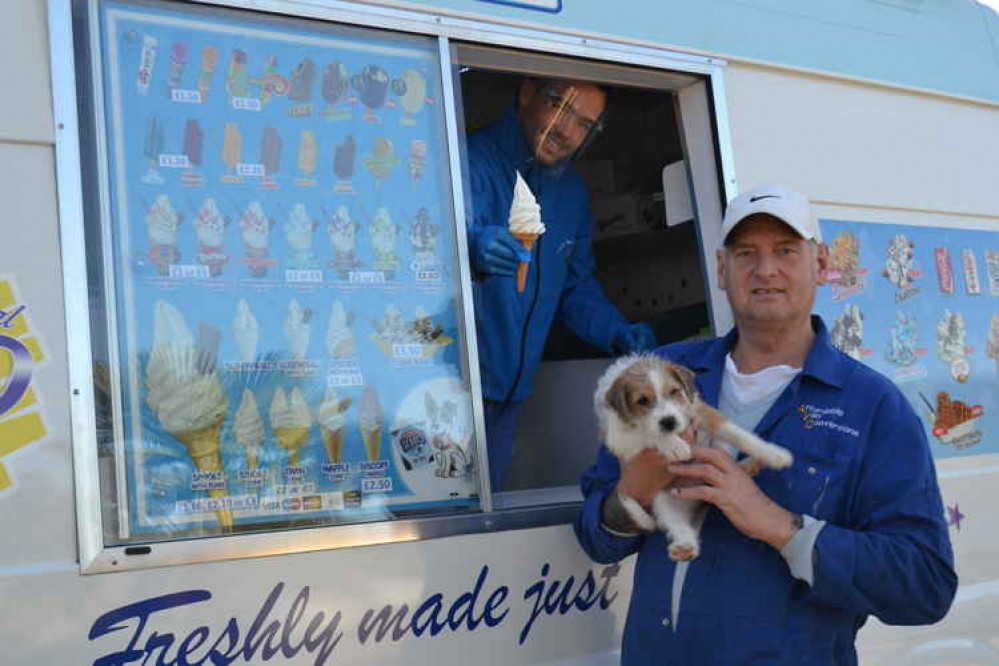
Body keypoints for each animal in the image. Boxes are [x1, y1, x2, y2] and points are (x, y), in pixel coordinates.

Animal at [592, 356, 796, 556]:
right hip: (664, 501)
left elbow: (739, 434)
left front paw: (774, 454)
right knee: (677, 524)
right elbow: (647, 432)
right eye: (642, 400)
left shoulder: (699, 410)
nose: (669, 422)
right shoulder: (620, 438)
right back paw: (684, 547)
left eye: (674, 391)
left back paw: (751, 464)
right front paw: (673, 444)